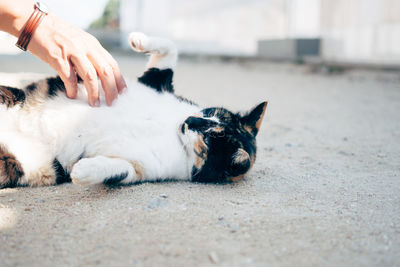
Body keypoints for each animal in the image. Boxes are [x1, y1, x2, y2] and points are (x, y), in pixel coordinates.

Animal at [0, 31, 268, 188]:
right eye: (210, 114)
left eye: (211, 138)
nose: (190, 121)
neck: (173, 131)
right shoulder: (155, 80)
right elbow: (170, 49)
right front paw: (138, 39)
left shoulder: (141, 169)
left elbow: (118, 171)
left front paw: (83, 170)